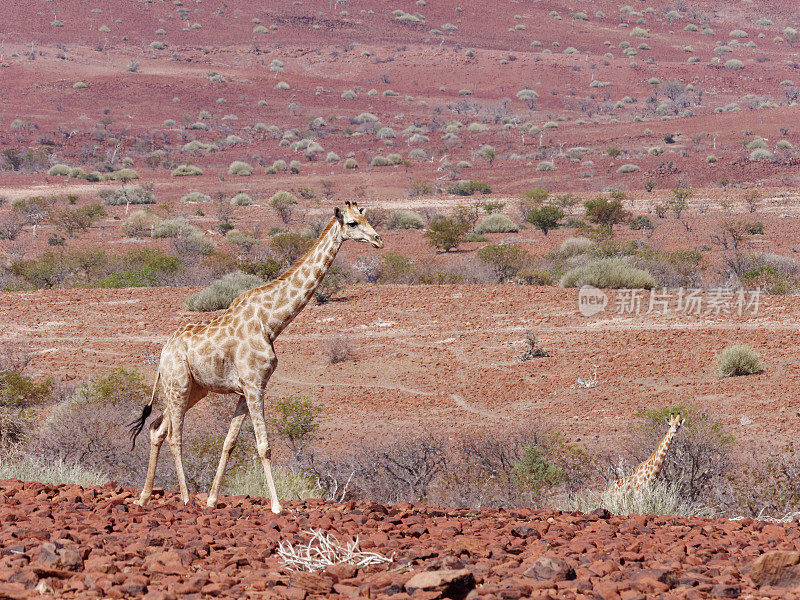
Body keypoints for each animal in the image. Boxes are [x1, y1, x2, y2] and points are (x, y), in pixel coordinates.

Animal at [129, 202, 384, 510]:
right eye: (352, 223)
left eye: (365, 217)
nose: (378, 240)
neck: (270, 323)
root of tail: (164, 351)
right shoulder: (254, 385)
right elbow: (264, 447)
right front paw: (276, 506)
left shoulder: (244, 389)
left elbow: (229, 442)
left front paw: (212, 500)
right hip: (177, 385)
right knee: (174, 435)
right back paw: (187, 498)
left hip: (193, 389)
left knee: (157, 428)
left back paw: (144, 497)